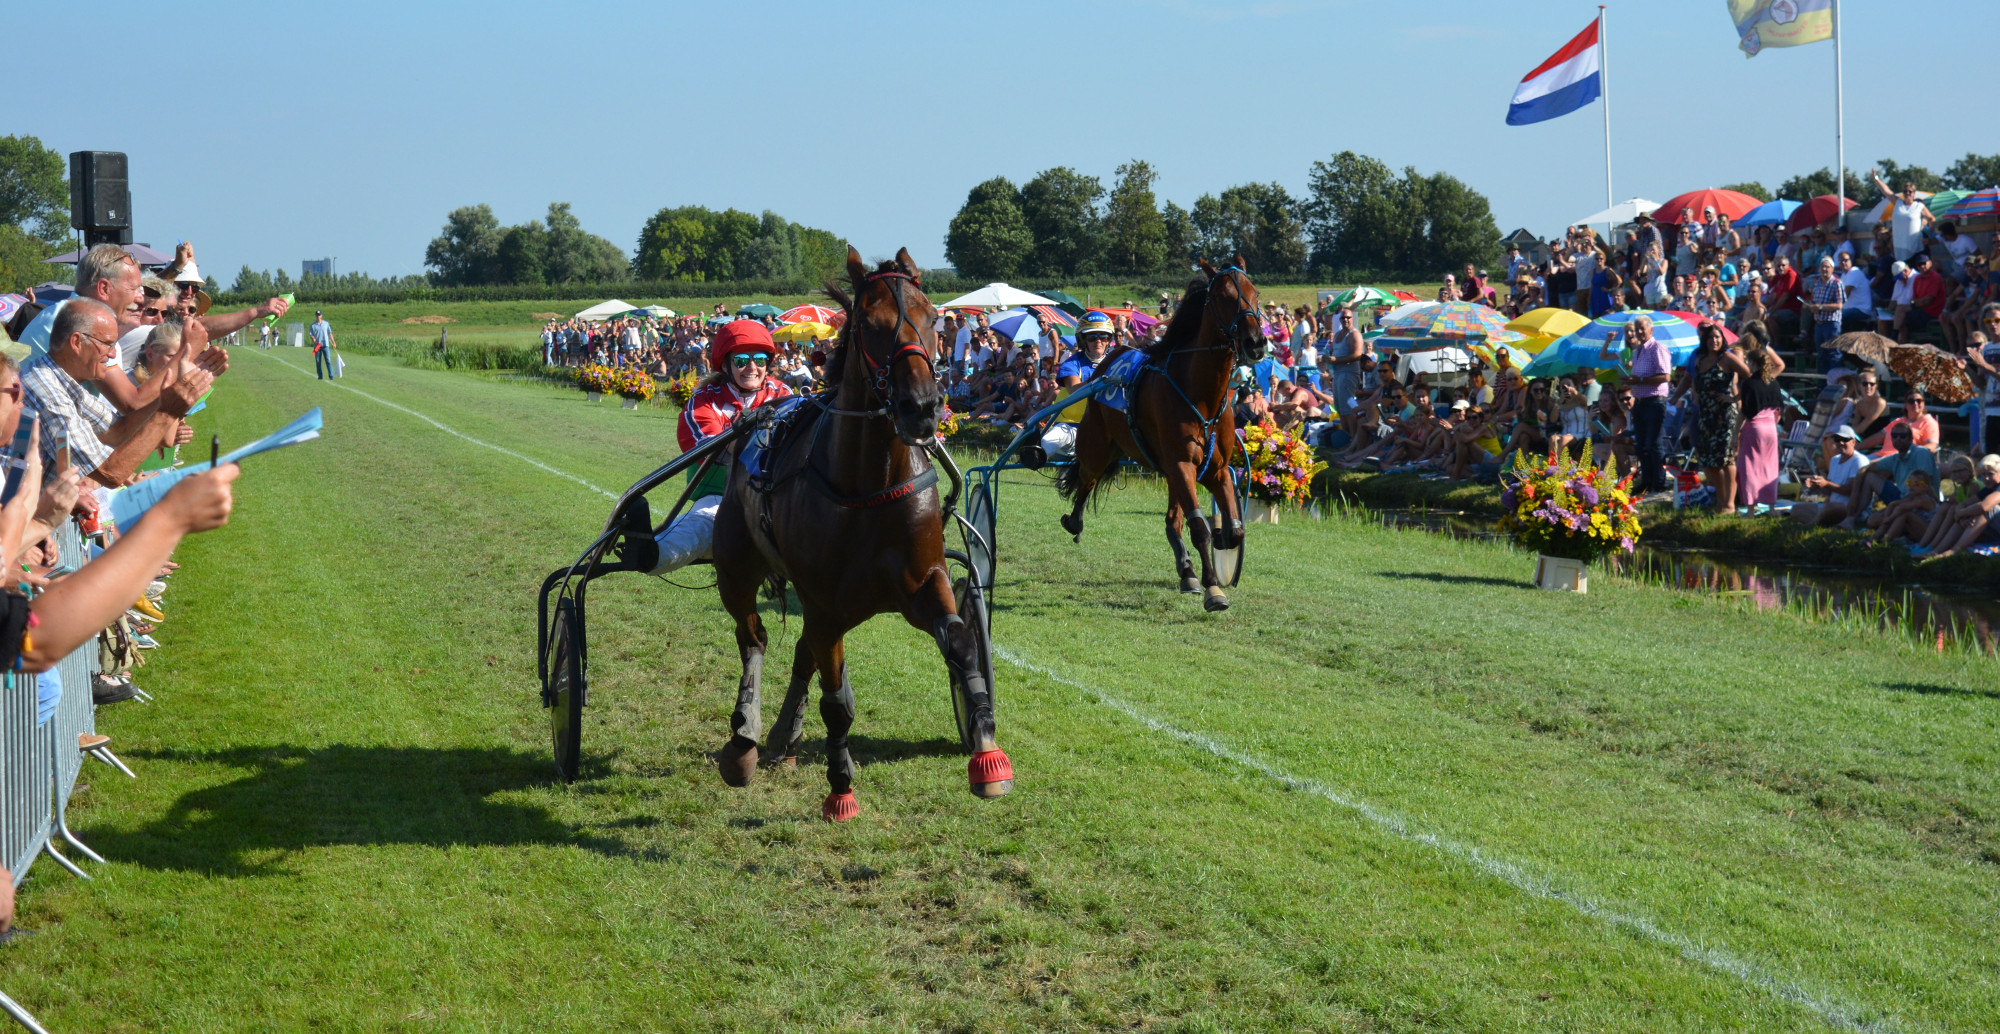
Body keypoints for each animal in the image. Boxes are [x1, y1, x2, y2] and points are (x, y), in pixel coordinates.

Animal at [708, 248, 1016, 824]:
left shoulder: (923, 581)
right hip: (735, 569)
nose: (923, 407)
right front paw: (840, 786)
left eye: (933, 318)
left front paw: (986, 750)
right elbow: (836, 703)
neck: (867, 486)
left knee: (800, 650)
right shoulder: (826, 605)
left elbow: (962, 643)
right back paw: (744, 740)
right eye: (872, 325)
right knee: (754, 638)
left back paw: (782, 734)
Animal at [1048, 258, 1264, 608]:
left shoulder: (1215, 470)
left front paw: (1214, 557)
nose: (1256, 343)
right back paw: (1074, 521)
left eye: (1254, 293)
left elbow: (1233, 531)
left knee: (1171, 520)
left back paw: (1186, 572)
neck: (1201, 396)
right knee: (1085, 477)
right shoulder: (1181, 464)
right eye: (1222, 296)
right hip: (1098, 446)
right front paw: (1213, 589)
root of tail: (1108, 360)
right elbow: (1199, 527)